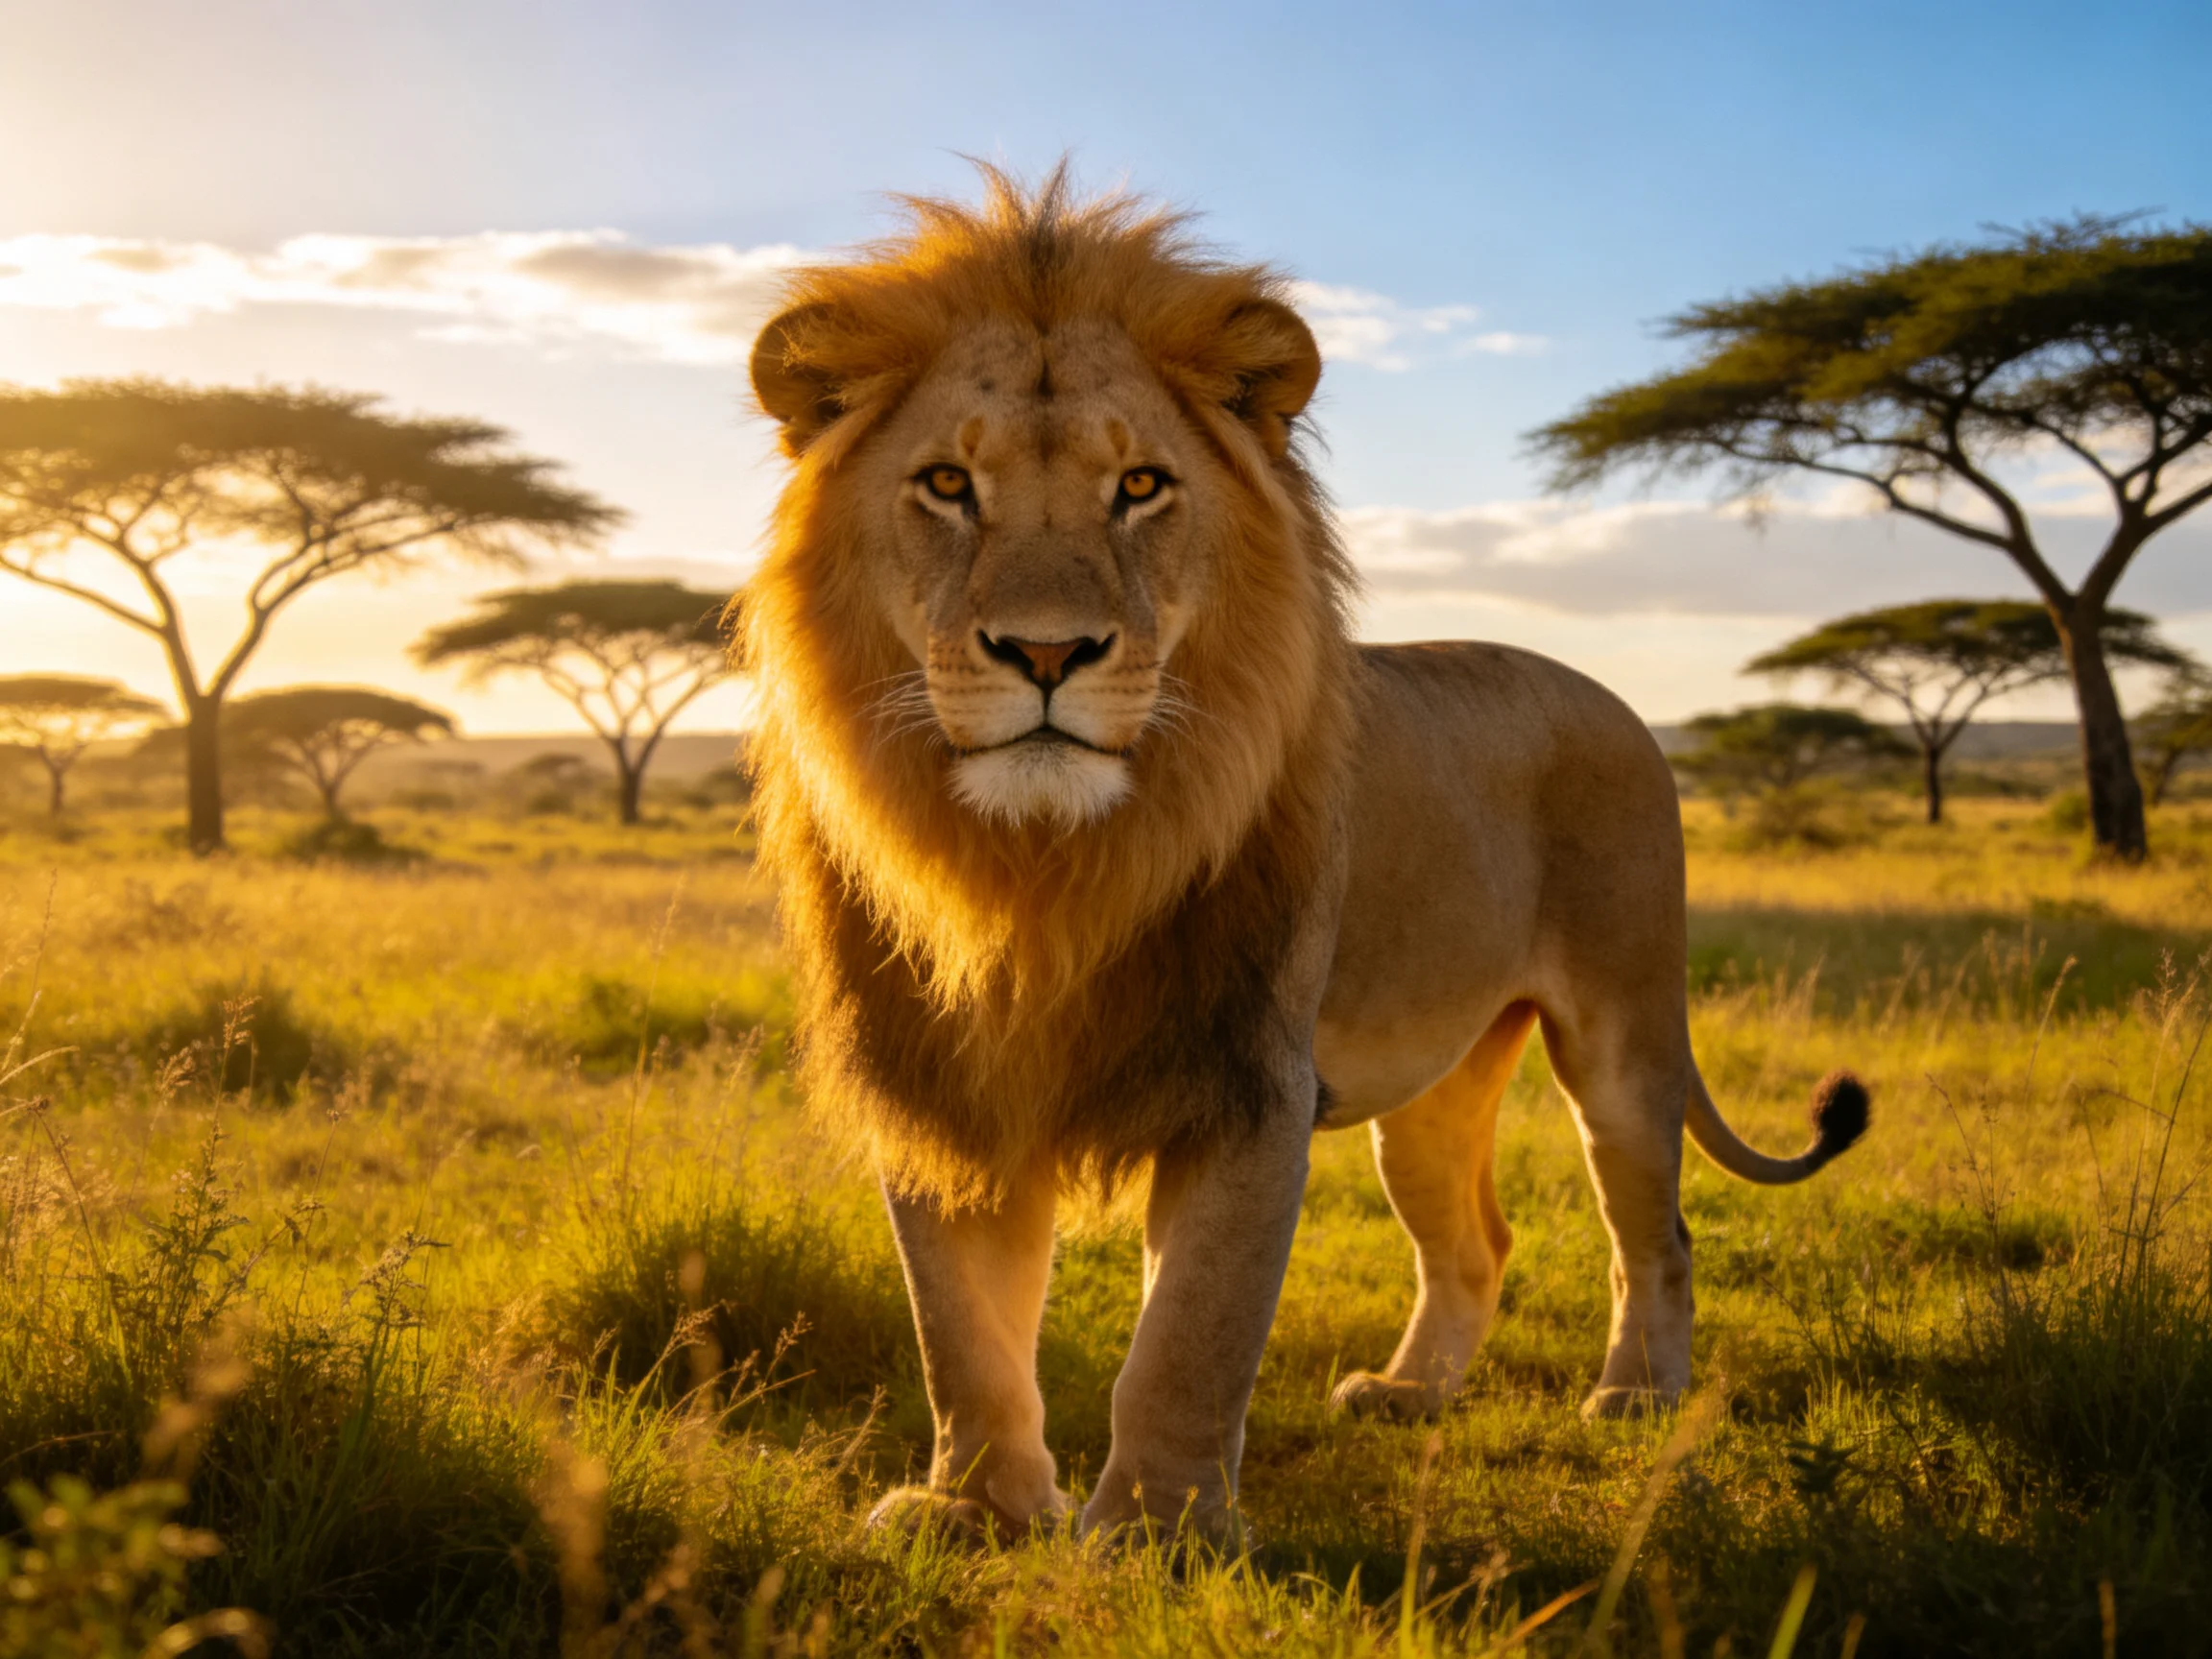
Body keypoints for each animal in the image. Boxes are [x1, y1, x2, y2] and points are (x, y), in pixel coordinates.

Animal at [737, 167, 1866, 1541]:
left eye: (1141, 487)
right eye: (949, 483)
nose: (1049, 653)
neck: (1042, 866)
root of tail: (1610, 698)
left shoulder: (1248, 1084)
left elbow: (1191, 1333)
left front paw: (1159, 1530)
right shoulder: (944, 1083)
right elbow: (961, 1328)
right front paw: (977, 1509)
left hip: (1624, 1034)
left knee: (1656, 1231)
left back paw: (1637, 1397)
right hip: (1432, 1087)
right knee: (1475, 1241)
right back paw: (1410, 1395)